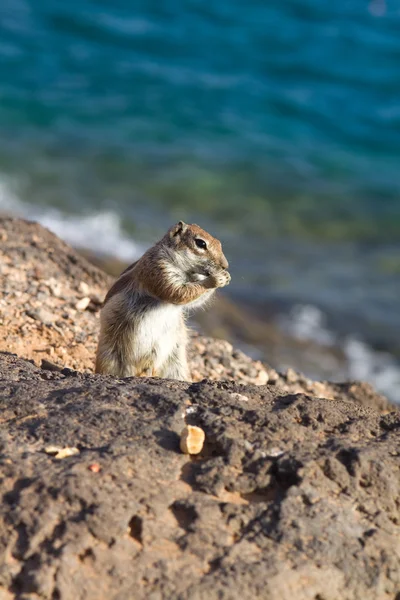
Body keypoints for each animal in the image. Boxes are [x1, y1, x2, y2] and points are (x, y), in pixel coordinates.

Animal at [95, 220, 230, 380]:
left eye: (220, 243)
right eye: (201, 243)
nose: (225, 266)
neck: (187, 272)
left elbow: (195, 300)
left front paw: (226, 276)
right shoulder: (158, 269)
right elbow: (177, 292)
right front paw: (217, 278)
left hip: (177, 363)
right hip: (110, 357)